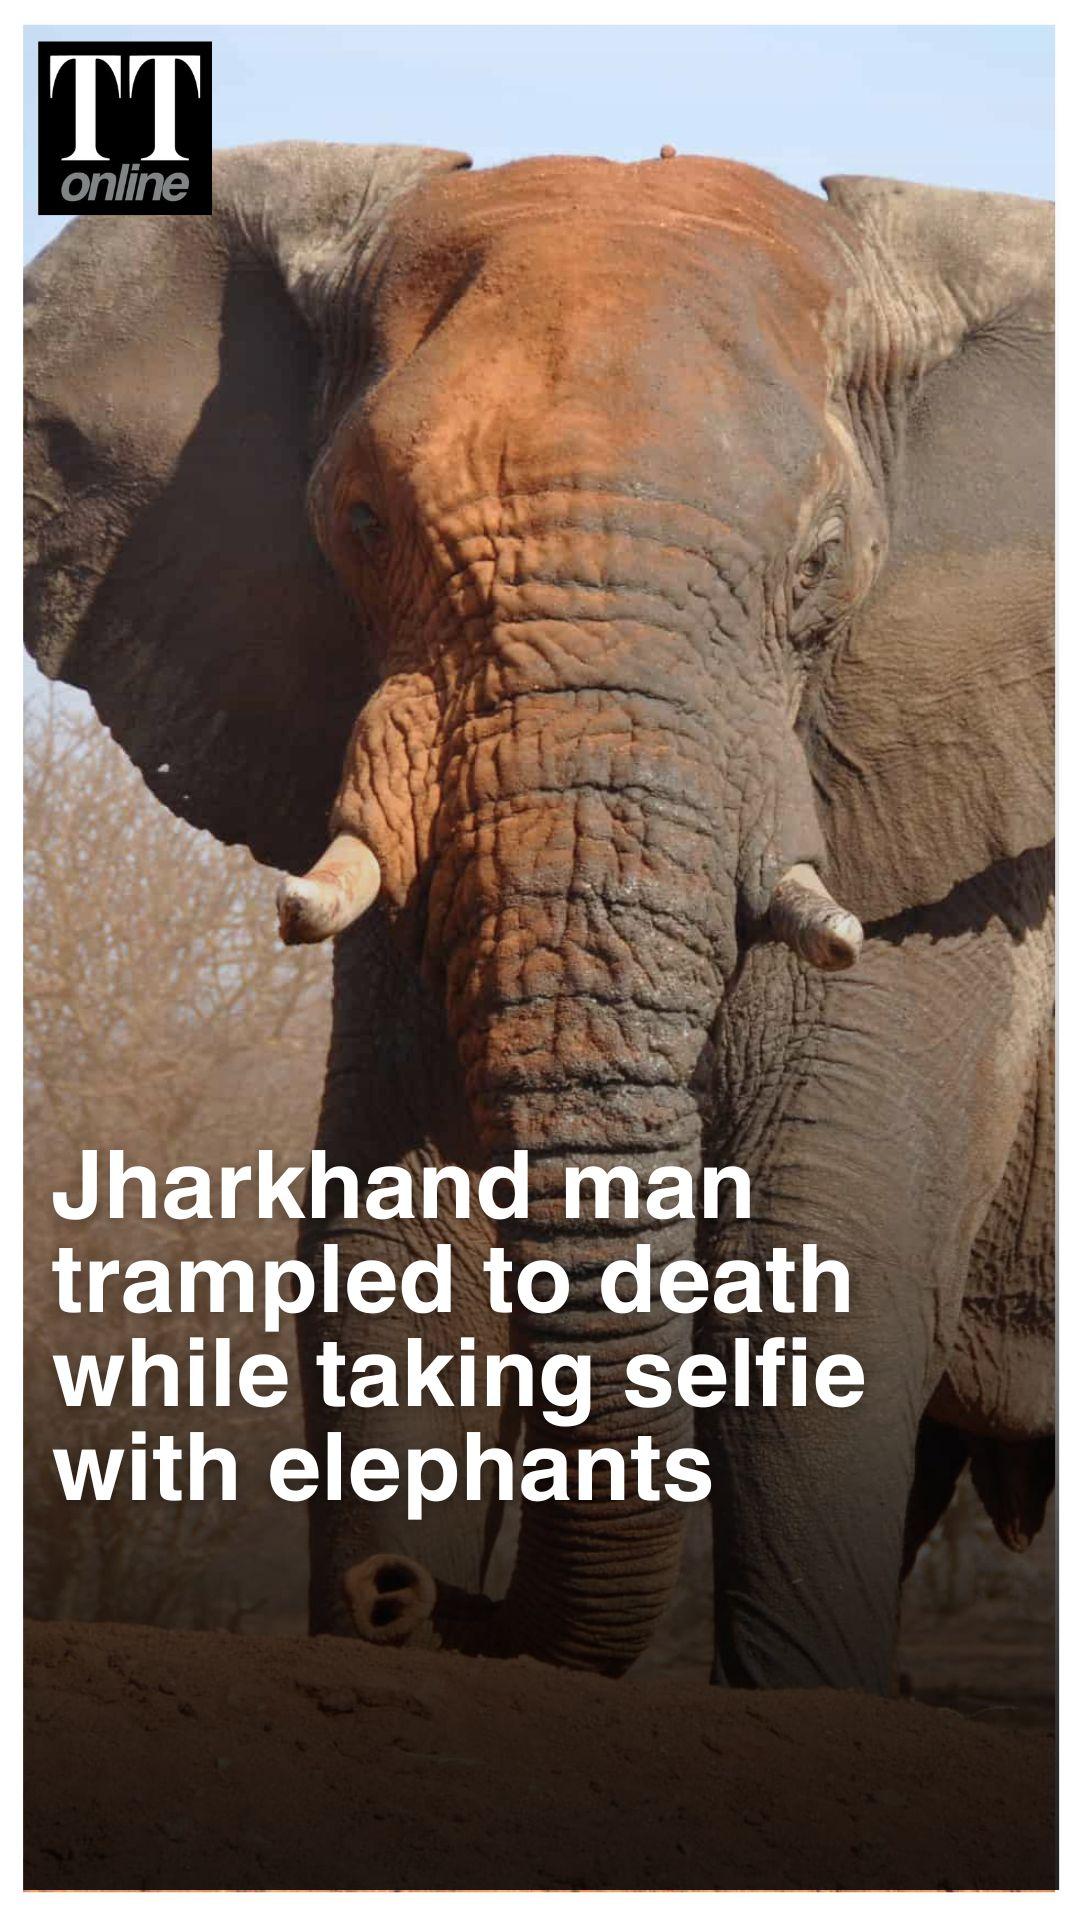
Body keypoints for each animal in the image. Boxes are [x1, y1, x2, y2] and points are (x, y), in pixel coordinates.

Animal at [24, 143, 1053, 1693]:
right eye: (361, 525)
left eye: (821, 563)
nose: (405, 1596)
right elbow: (391, 1233)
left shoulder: (938, 842)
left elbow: (826, 1264)